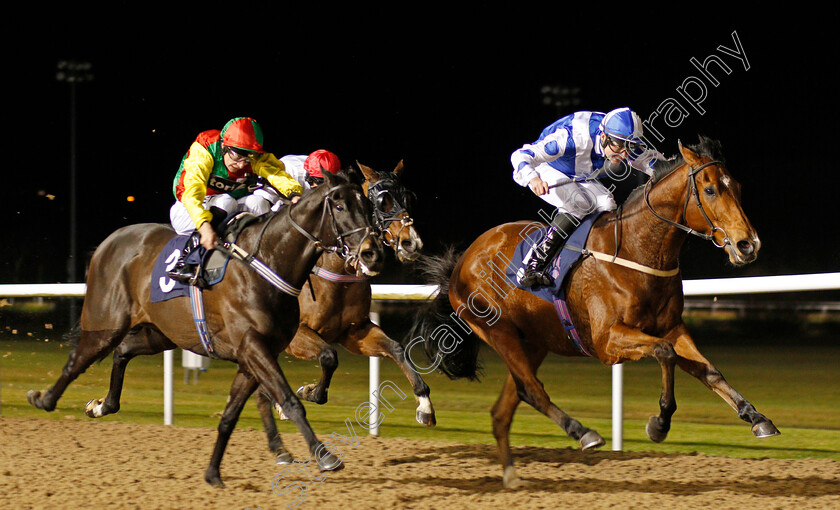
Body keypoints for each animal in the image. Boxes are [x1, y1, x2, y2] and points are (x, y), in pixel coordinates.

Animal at [27, 171, 384, 486]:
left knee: (123, 351)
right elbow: (290, 400)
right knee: (78, 361)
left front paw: (213, 474)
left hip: (162, 332)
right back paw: (43, 399)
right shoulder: (253, 347)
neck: (267, 261)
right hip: (106, 322)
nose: (372, 253)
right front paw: (325, 455)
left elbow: (230, 415)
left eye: (368, 206)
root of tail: (108, 242)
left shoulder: (255, 355)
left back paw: (103, 405)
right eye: (340, 206)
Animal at [410, 137, 776, 488]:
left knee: (504, 408)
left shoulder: (672, 326)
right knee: (530, 389)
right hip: (498, 331)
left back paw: (512, 477)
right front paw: (659, 423)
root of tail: (461, 262)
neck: (635, 250)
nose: (749, 245)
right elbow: (665, 353)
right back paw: (582, 432)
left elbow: (708, 370)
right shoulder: (607, 341)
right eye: (710, 189)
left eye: (737, 186)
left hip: (534, 341)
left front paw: (757, 418)